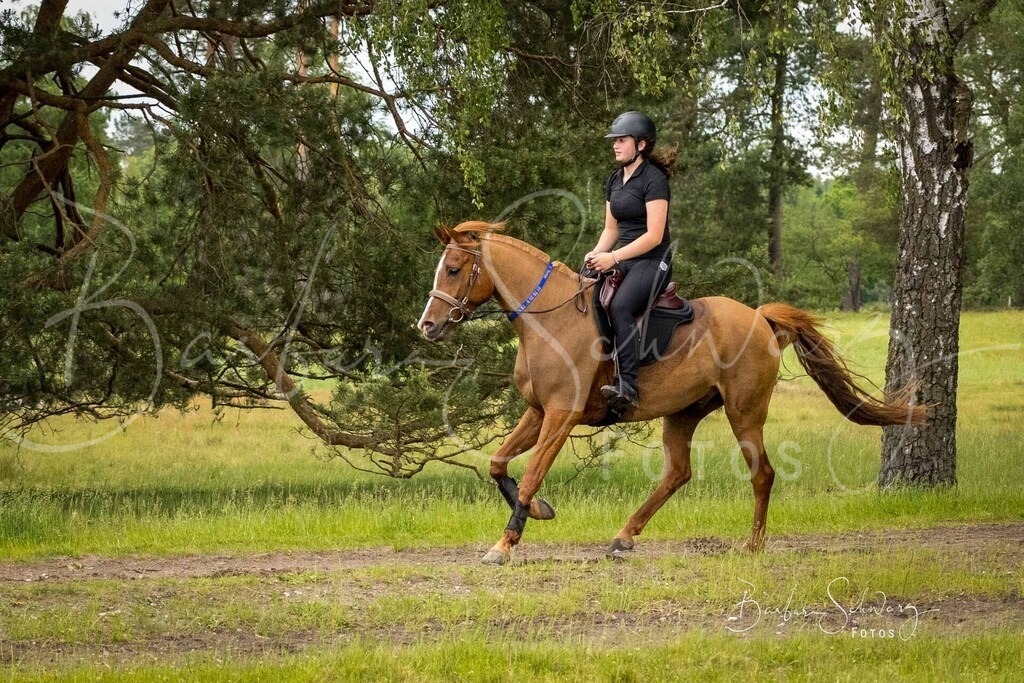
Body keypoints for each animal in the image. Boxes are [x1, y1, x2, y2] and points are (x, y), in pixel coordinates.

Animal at [416, 221, 927, 565]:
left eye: (455, 269)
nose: (427, 326)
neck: (549, 319)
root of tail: (761, 318)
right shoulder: (539, 411)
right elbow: (499, 464)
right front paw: (540, 512)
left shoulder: (562, 415)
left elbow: (529, 475)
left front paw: (504, 544)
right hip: (683, 413)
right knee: (678, 472)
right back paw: (624, 536)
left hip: (744, 412)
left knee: (762, 474)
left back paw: (752, 544)